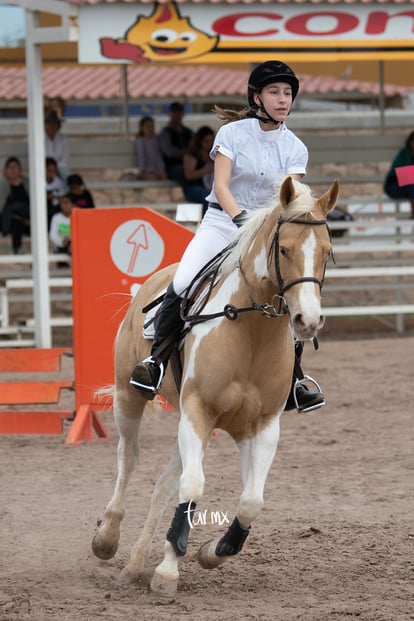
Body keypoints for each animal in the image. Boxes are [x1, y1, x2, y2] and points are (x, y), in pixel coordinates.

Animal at [91, 177, 340, 600]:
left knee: (163, 485)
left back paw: (135, 566)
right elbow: (193, 488)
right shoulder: (198, 410)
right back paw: (107, 539)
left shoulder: (261, 427)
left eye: (326, 252)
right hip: (130, 396)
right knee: (129, 458)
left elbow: (250, 501)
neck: (252, 332)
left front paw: (212, 552)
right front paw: (168, 572)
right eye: (284, 249)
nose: (307, 321)